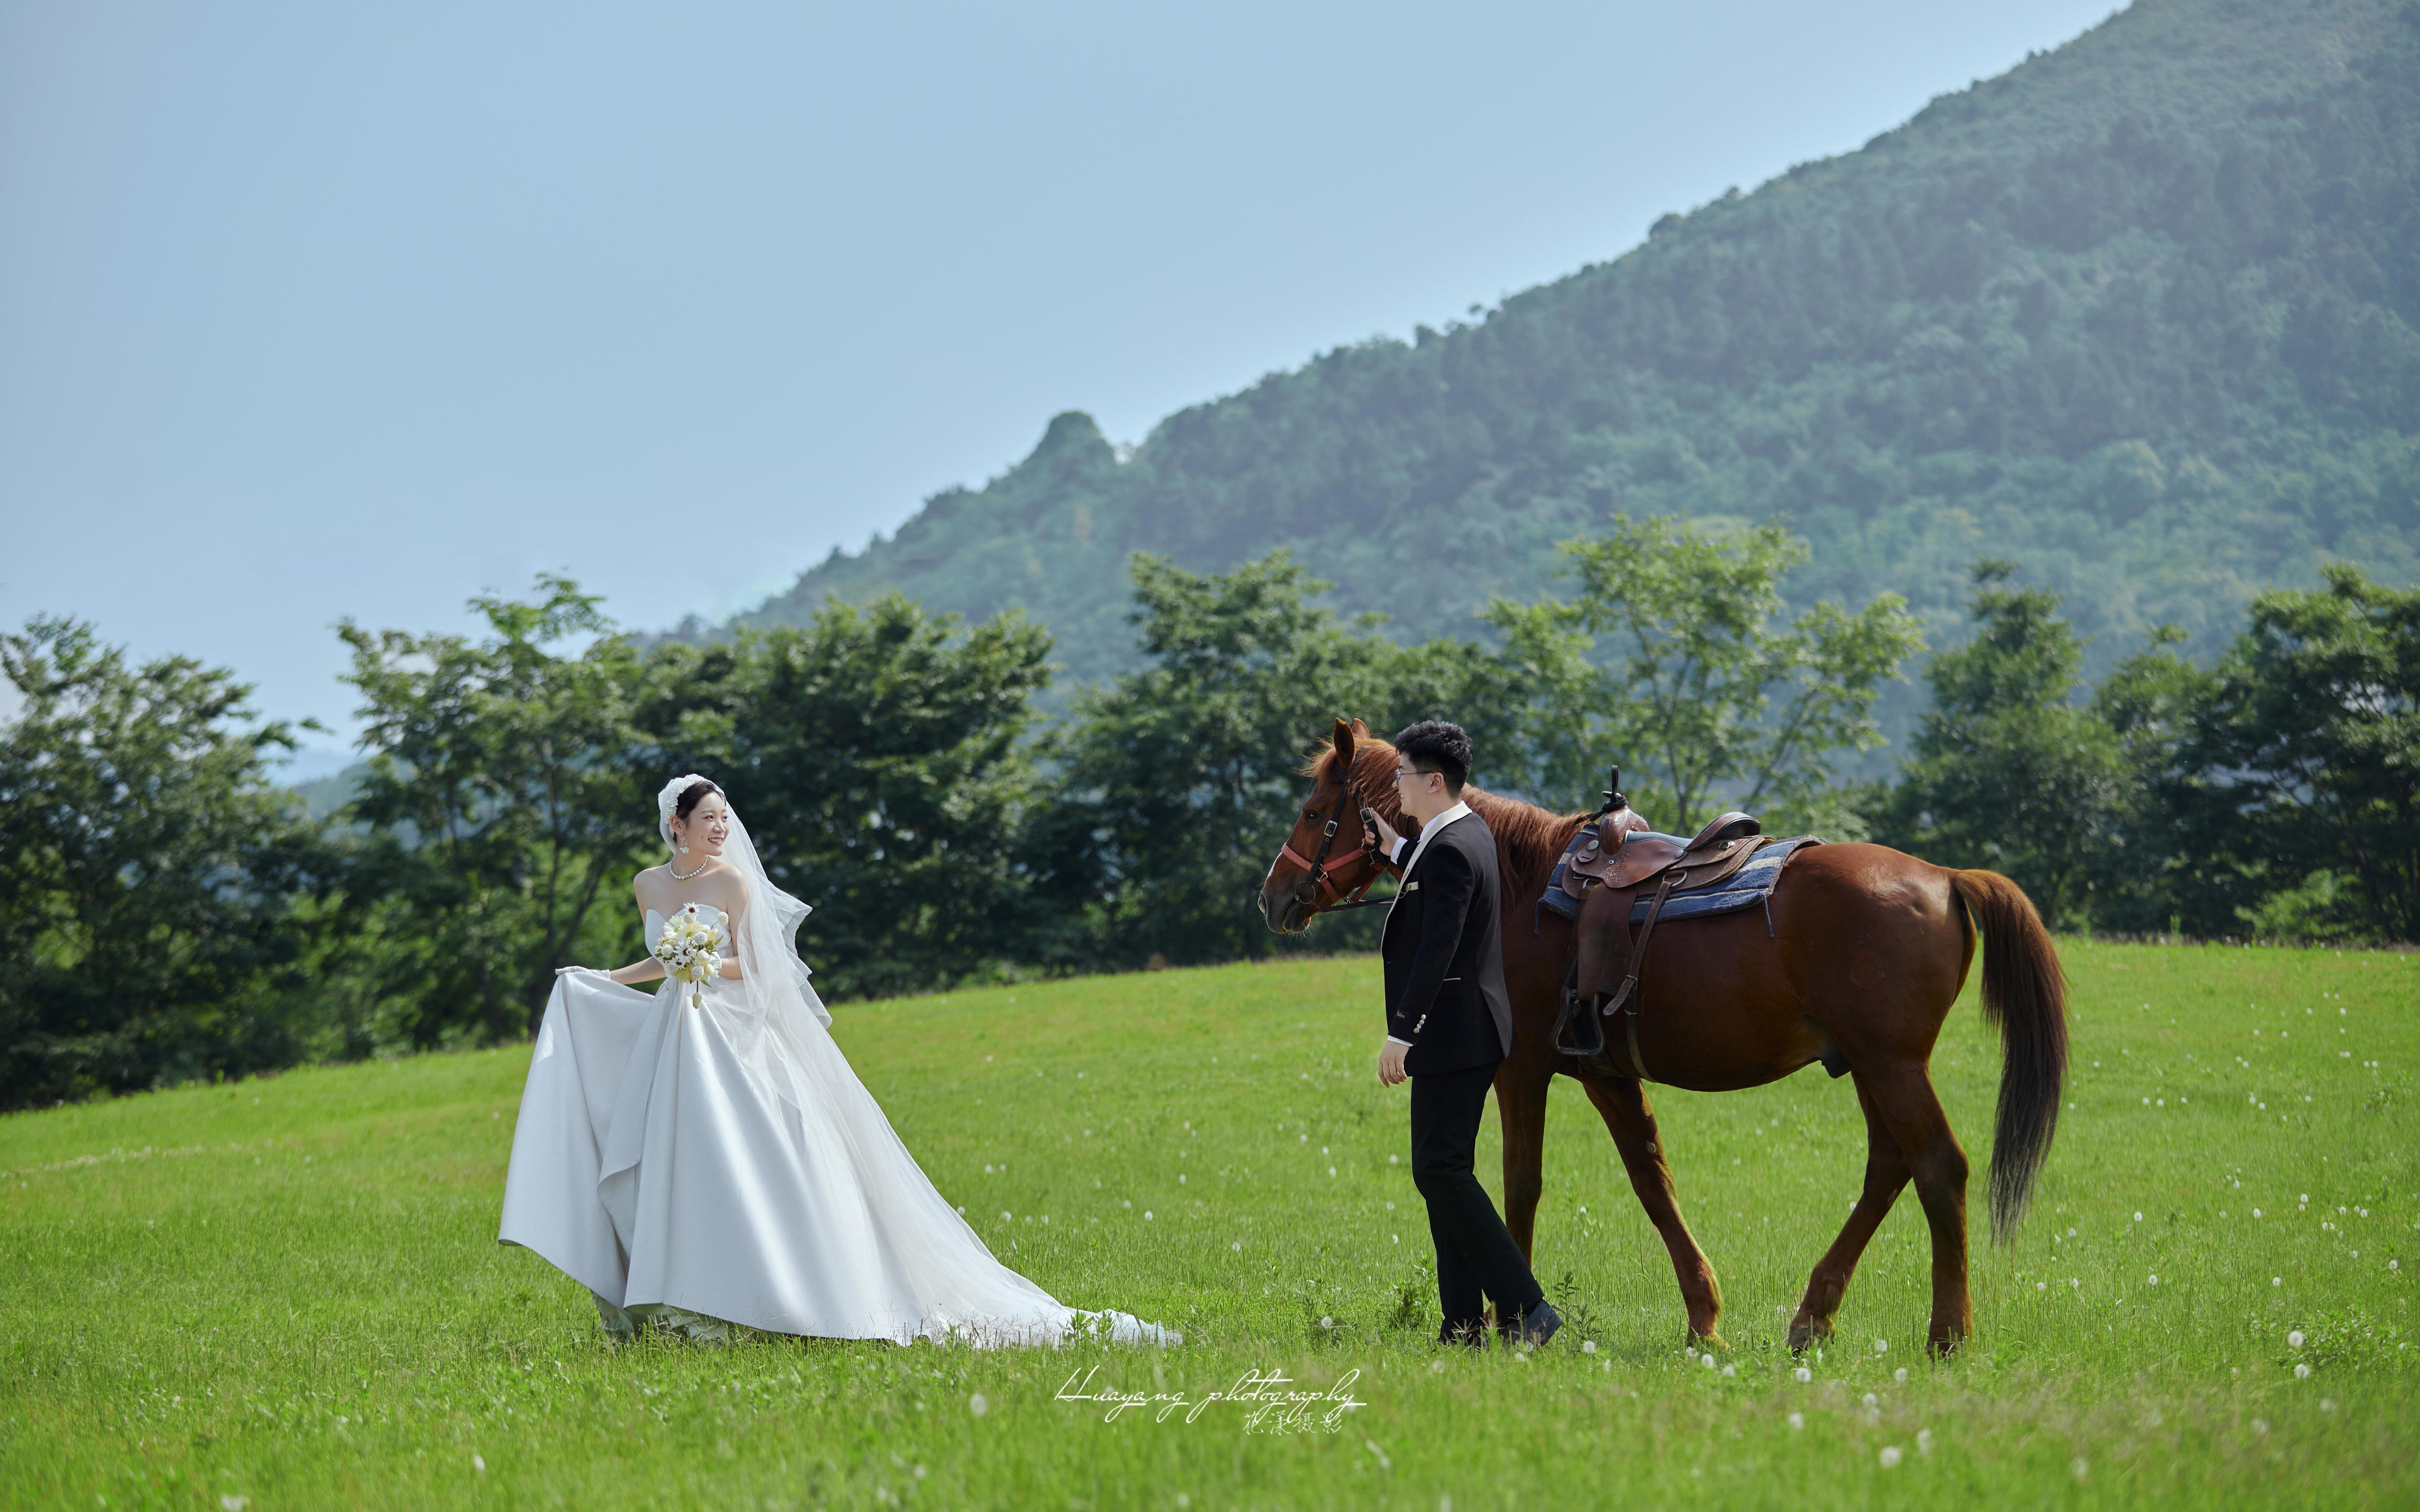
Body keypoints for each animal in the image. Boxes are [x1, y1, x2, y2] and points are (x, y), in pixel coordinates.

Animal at [1258, 721, 2071, 1355]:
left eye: (1313, 811)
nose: (1272, 897)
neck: (1521, 885)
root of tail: (1945, 876)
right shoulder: (1608, 1076)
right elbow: (1654, 1183)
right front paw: (1704, 1318)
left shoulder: (1520, 1070)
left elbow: (1520, 1185)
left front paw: (1509, 1320)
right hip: (1871, 1066)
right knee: (1890, 1167)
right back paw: (1814, 1316)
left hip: (1892, 1065)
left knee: (1939, 1167)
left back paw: (1948, 1333)